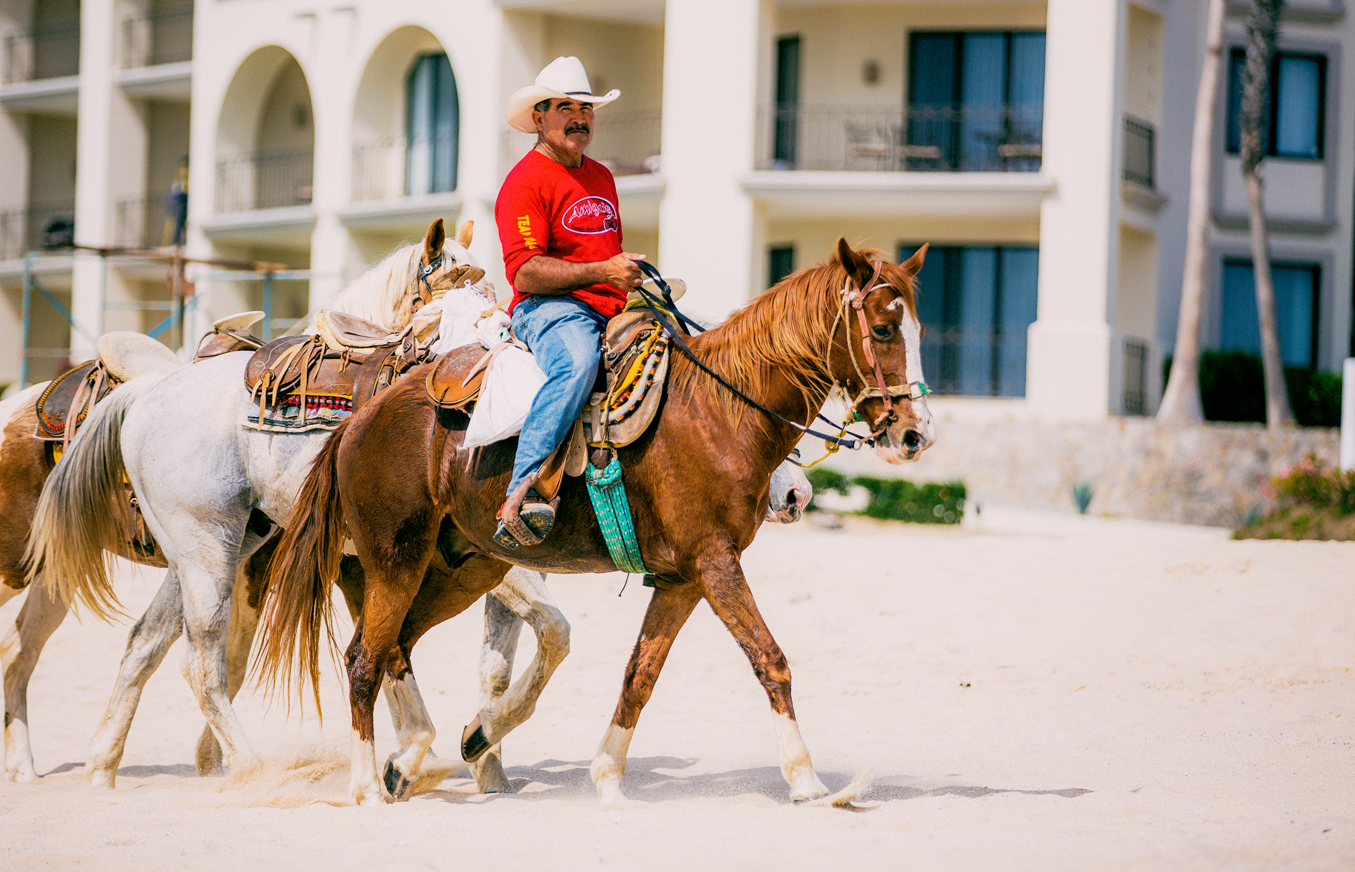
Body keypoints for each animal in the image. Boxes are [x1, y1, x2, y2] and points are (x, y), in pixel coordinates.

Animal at [254, 238, 932, 801]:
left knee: (390, 646)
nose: (914, 434)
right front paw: (806, 778)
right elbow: (770, 660)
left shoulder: (684, 579)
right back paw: (368, 783)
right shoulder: (716, 563)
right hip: (396, 561)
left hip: (459, 570)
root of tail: (357, 422)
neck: (716, 410)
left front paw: (605, 773)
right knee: (364, 661)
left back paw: (428, 754)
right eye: (881, 327)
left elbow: (640, 673)